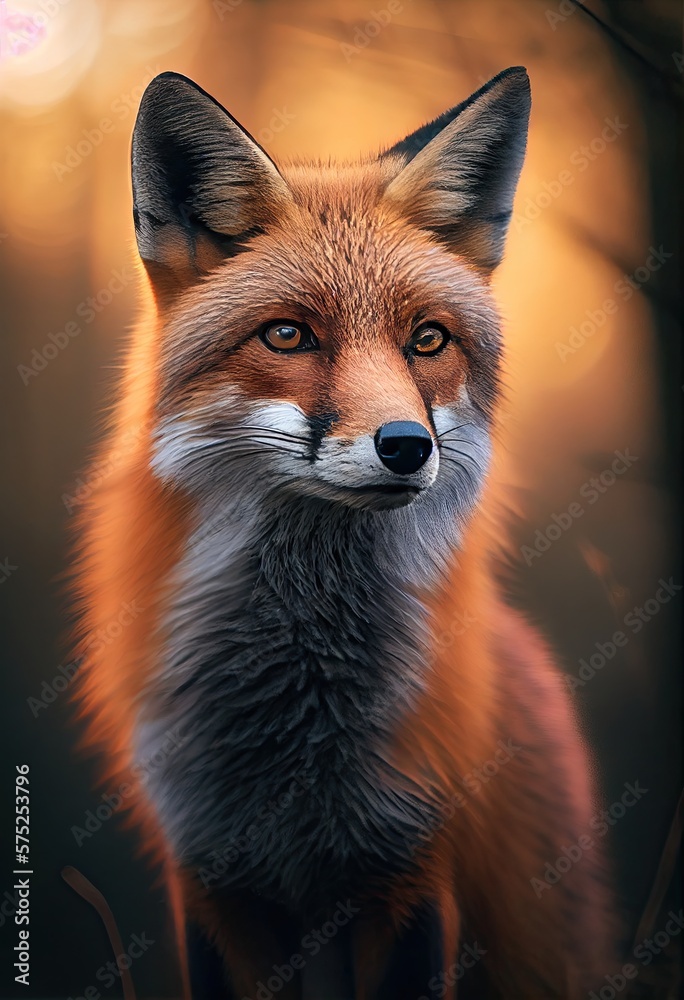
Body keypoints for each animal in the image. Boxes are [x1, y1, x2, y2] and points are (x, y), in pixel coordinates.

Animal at [71, 67, 616, 999]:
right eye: (288, 334)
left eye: (427, 339)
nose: (406, 446)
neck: (298, 721)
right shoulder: (212, 880)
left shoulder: (408, 870)